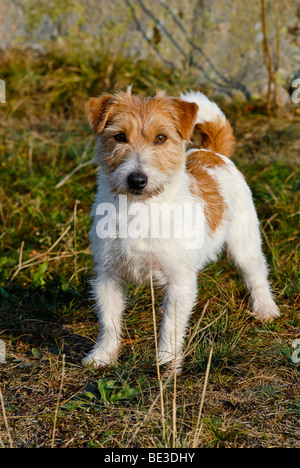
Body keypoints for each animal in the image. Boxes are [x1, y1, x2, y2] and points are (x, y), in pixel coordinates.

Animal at [83, 89, 280, 372]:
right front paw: (102, 356)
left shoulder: (179, 282)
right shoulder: (108, 275)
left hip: (244, 244)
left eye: (161, 138)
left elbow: (171, 325)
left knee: (256, 275)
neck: (140, 209)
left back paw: (265, 309)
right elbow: (109, 321)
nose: (137, 180)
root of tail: (212, 152)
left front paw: (166, 361)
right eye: (119, 136)